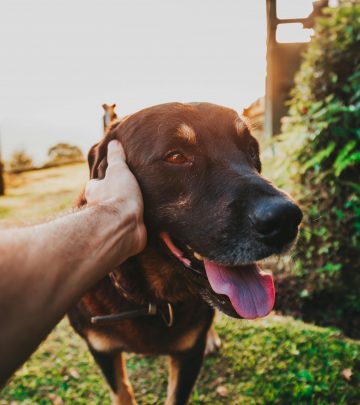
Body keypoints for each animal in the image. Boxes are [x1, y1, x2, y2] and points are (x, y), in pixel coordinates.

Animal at [69, 102, 302, 404]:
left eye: (252, 150)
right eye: (176, 156)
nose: (286, 220)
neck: (151, 299)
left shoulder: (189, 354)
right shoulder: (101, 350)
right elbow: (122, 391)